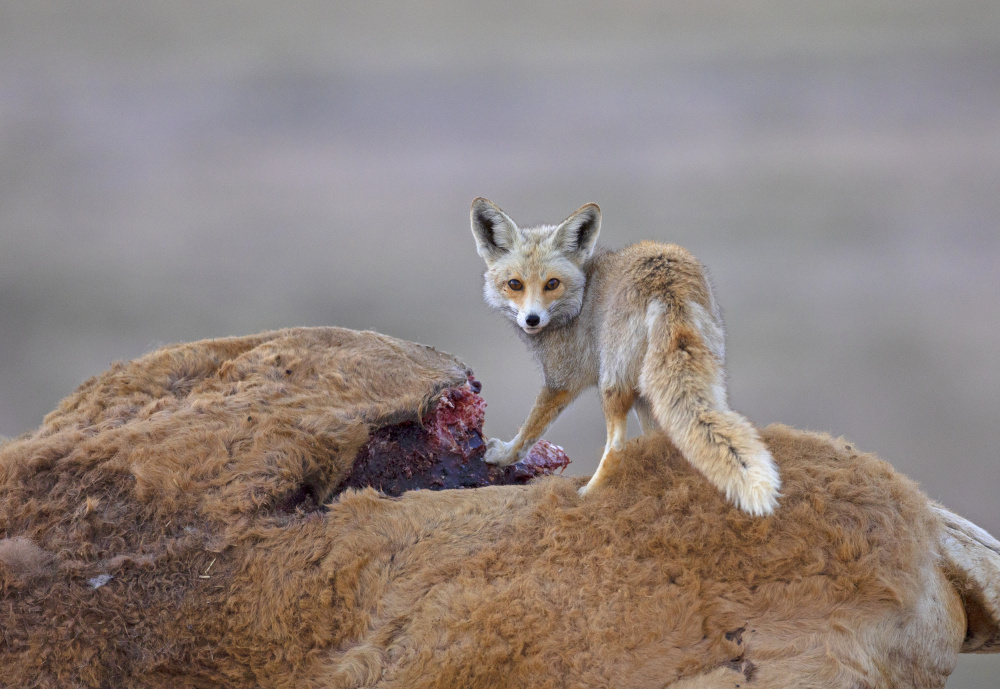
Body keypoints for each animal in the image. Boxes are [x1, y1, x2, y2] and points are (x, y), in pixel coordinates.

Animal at [472, 196, 784, 512]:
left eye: (552, 284)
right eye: (515, 284)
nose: (532, 319)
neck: (579, 300)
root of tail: (666, 284)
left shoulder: (561, 381)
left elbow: (528, 433)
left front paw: (501, 455)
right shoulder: (643, 396)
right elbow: (656, 439)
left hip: (612, 382)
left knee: (616, 447)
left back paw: (588, 494)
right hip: (675, 382)